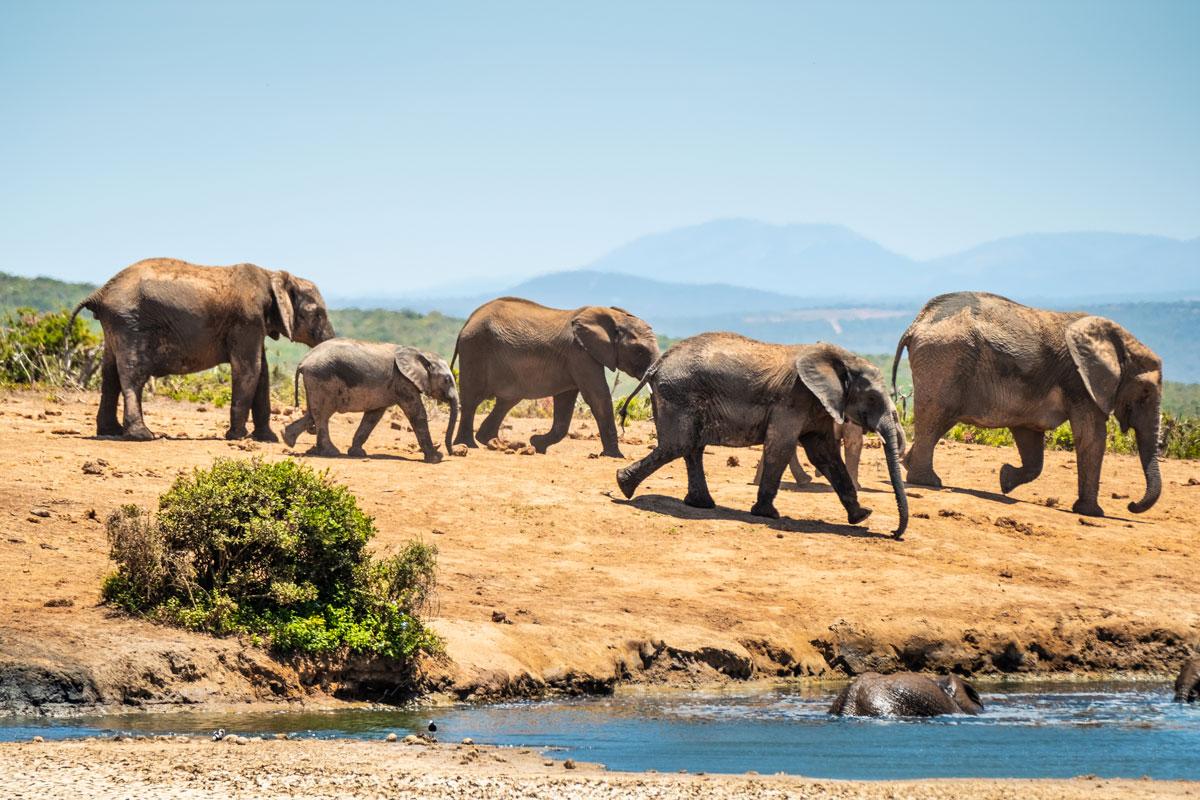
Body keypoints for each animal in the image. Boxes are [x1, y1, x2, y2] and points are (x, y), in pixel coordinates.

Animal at [68, 258, 334, 442]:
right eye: (318, 314)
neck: (273, 275)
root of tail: (100, 293)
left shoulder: (254, 325)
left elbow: (262, 373)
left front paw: (267, 439)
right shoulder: (246, 320)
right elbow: (250, 369)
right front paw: (237, 437)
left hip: (115, 325)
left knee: (110, 374)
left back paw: (110, 431)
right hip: (129, 323)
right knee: (133, 374)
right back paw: (142, 436)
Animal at [283, 339, 458, 462]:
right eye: (447, 380)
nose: (452, 453)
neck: (421, 353)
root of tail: (303, 361)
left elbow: (373, 416)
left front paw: (357, 453)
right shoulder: (403, 382)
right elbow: (417, 414)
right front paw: (436, 458)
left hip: (315, 382)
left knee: (313, 413)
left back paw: (287, 439)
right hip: (321, 378)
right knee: (323, 414)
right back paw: (331, 452)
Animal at [452, 297, 660, 458]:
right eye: (640, 351)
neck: (614, 317)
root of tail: (468, 321)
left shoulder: (574, 359)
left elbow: (565, 405)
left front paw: (537, 444)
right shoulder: (580, 354)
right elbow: (598, 398)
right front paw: (615, 456)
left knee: (507, 401)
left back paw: (494, 443)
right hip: (475, 348)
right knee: (471, 400)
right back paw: (468, 445)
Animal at [615, 334, 909, 538]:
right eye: (872, 398)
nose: (894, 533)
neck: (843, 359)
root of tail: (657, 364)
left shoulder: (818, 406)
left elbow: (825, 456)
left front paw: (861, 516)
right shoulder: (794, 398)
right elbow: (781, 447)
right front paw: (768, 514)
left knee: (691, 447)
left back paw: (700, 504)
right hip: (679, 393)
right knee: (679, 444)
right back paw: (623, 485)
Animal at [893, 292, 1163, 517]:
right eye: (1145, 392)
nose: (1131, 505)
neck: (1117, 341)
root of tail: (917, 323)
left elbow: (1031, 438)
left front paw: (1005, 481)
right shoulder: (1080, 382)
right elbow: (1091, 437)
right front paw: (1092, 513)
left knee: (940, 420)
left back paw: (911, 467)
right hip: (944, 359)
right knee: (935, 415)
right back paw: (928, 481)